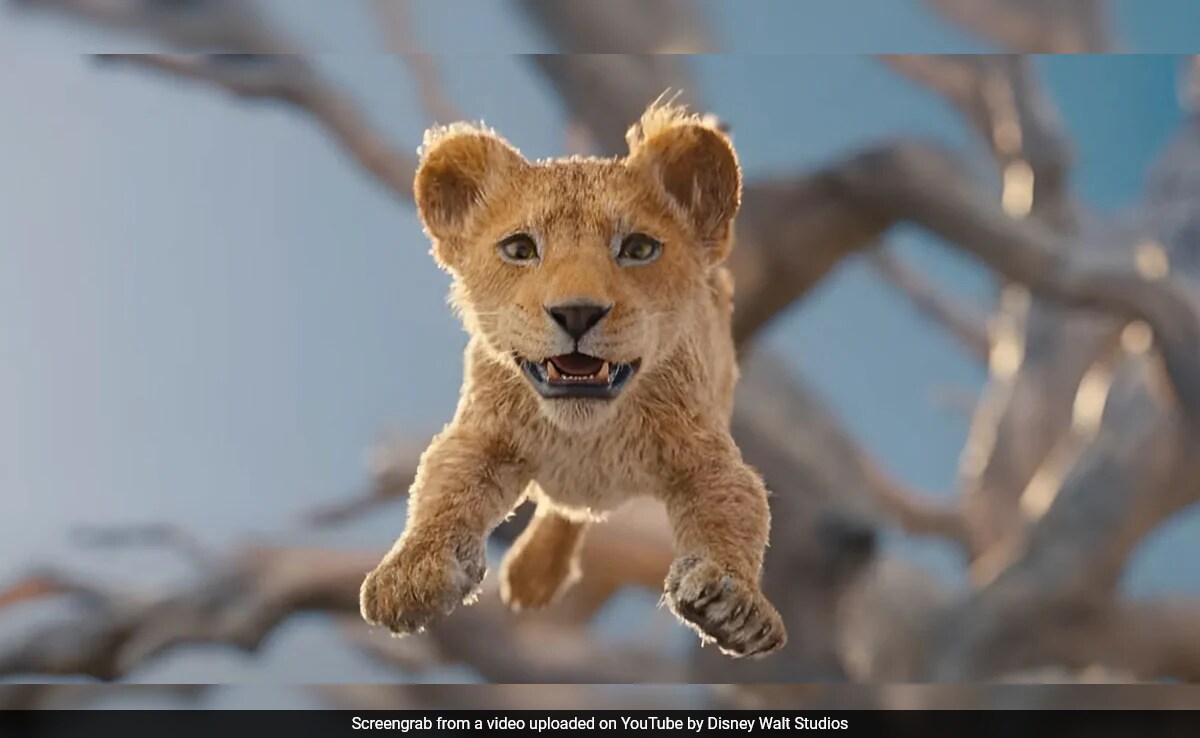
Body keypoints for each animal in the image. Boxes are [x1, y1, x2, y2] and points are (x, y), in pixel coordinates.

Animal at [359, 100, 786, 658]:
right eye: (520, 249)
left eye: (638, 249)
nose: (578, 313)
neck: (586, 434)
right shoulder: (481, 436)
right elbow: (442, 492)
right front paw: (411, 575)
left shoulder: (708, 456)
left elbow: (735, 510)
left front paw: (734, 603)